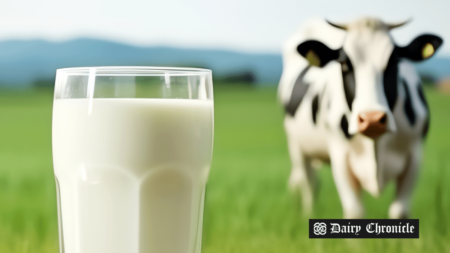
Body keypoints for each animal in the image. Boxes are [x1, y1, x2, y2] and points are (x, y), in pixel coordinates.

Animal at [280, 17, 442, 219]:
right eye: (344, 64)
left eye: (394, 62)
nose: (372, 119)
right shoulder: (340, 156)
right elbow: (355, 211)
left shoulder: (415, 154)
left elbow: (399, 211)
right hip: (297, 146)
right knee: (308, 184)